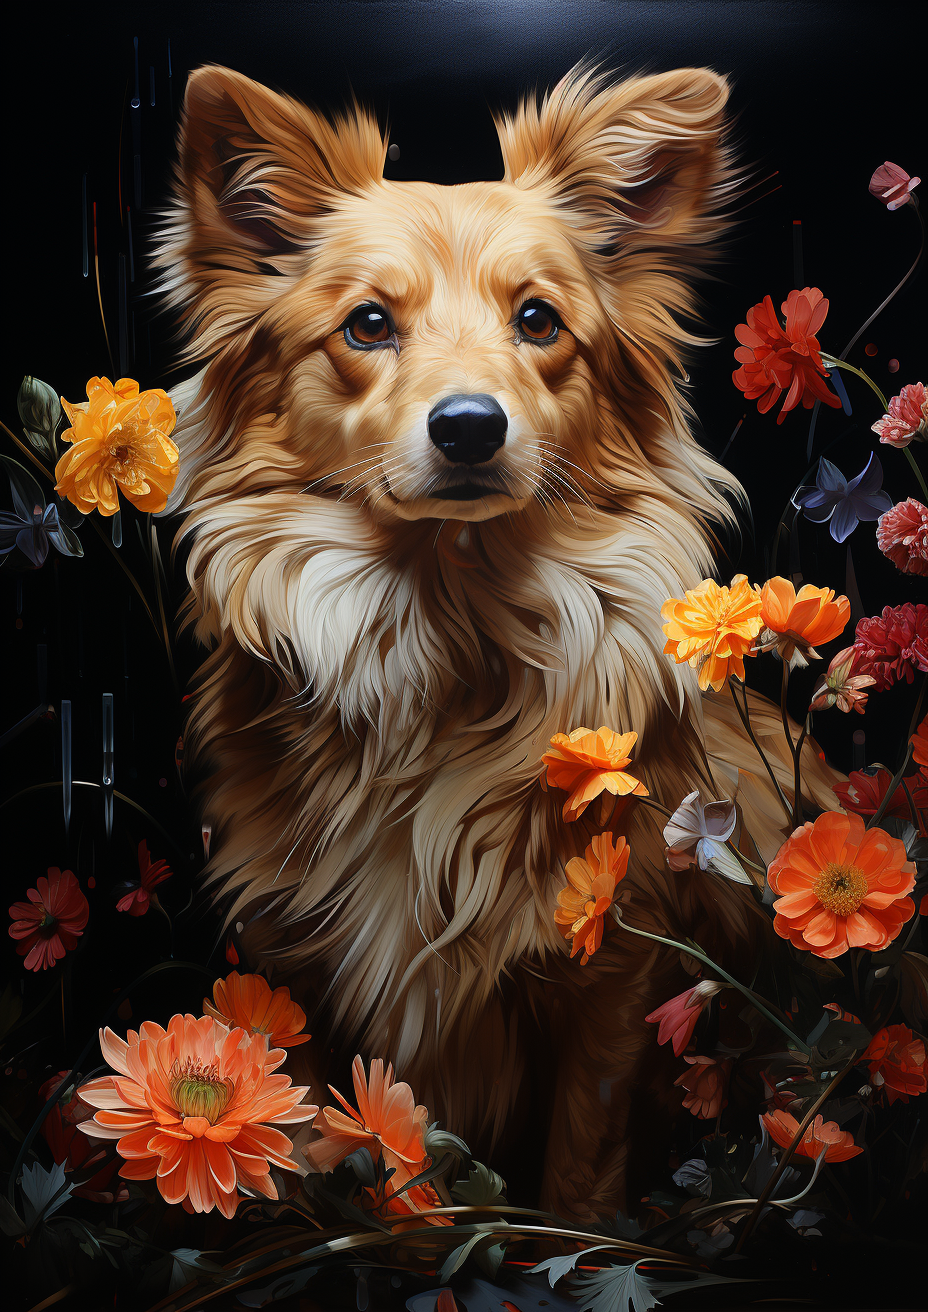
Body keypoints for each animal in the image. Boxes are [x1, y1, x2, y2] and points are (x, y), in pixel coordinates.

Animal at [161, 63, 840, 1217]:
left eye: (537, 319)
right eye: (368, 324)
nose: (471, 426)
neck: (450, 628)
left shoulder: (613, 967)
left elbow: (579, 1164)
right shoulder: (306, 969)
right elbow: (366, 1153)